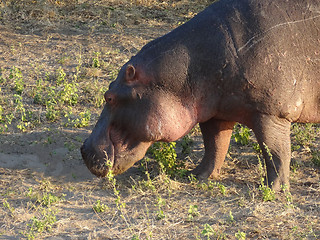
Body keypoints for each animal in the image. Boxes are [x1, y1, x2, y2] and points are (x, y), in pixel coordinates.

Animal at [82, 0, 320, 191]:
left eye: (109, 97)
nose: (84, 149)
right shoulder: (216, 112)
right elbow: (214, 146)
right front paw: (196, 176)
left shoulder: (270, 112)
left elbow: (275, 152)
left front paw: (273, 189)